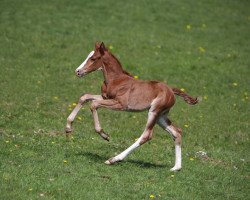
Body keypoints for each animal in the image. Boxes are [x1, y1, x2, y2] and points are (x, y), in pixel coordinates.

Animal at [66, 41, 199, 171]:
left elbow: (94, 104)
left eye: (93, 58)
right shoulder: (106, 98)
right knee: (176, 132)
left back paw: (114, 159)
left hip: (154, 112)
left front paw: (104, 135)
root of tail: (171, 90)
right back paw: (176, 167)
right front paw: (68, 128)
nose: (77, 71)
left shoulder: (120, 104)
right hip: (161, 116)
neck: (117, 80)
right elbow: (84, 97)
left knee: (146, 135)